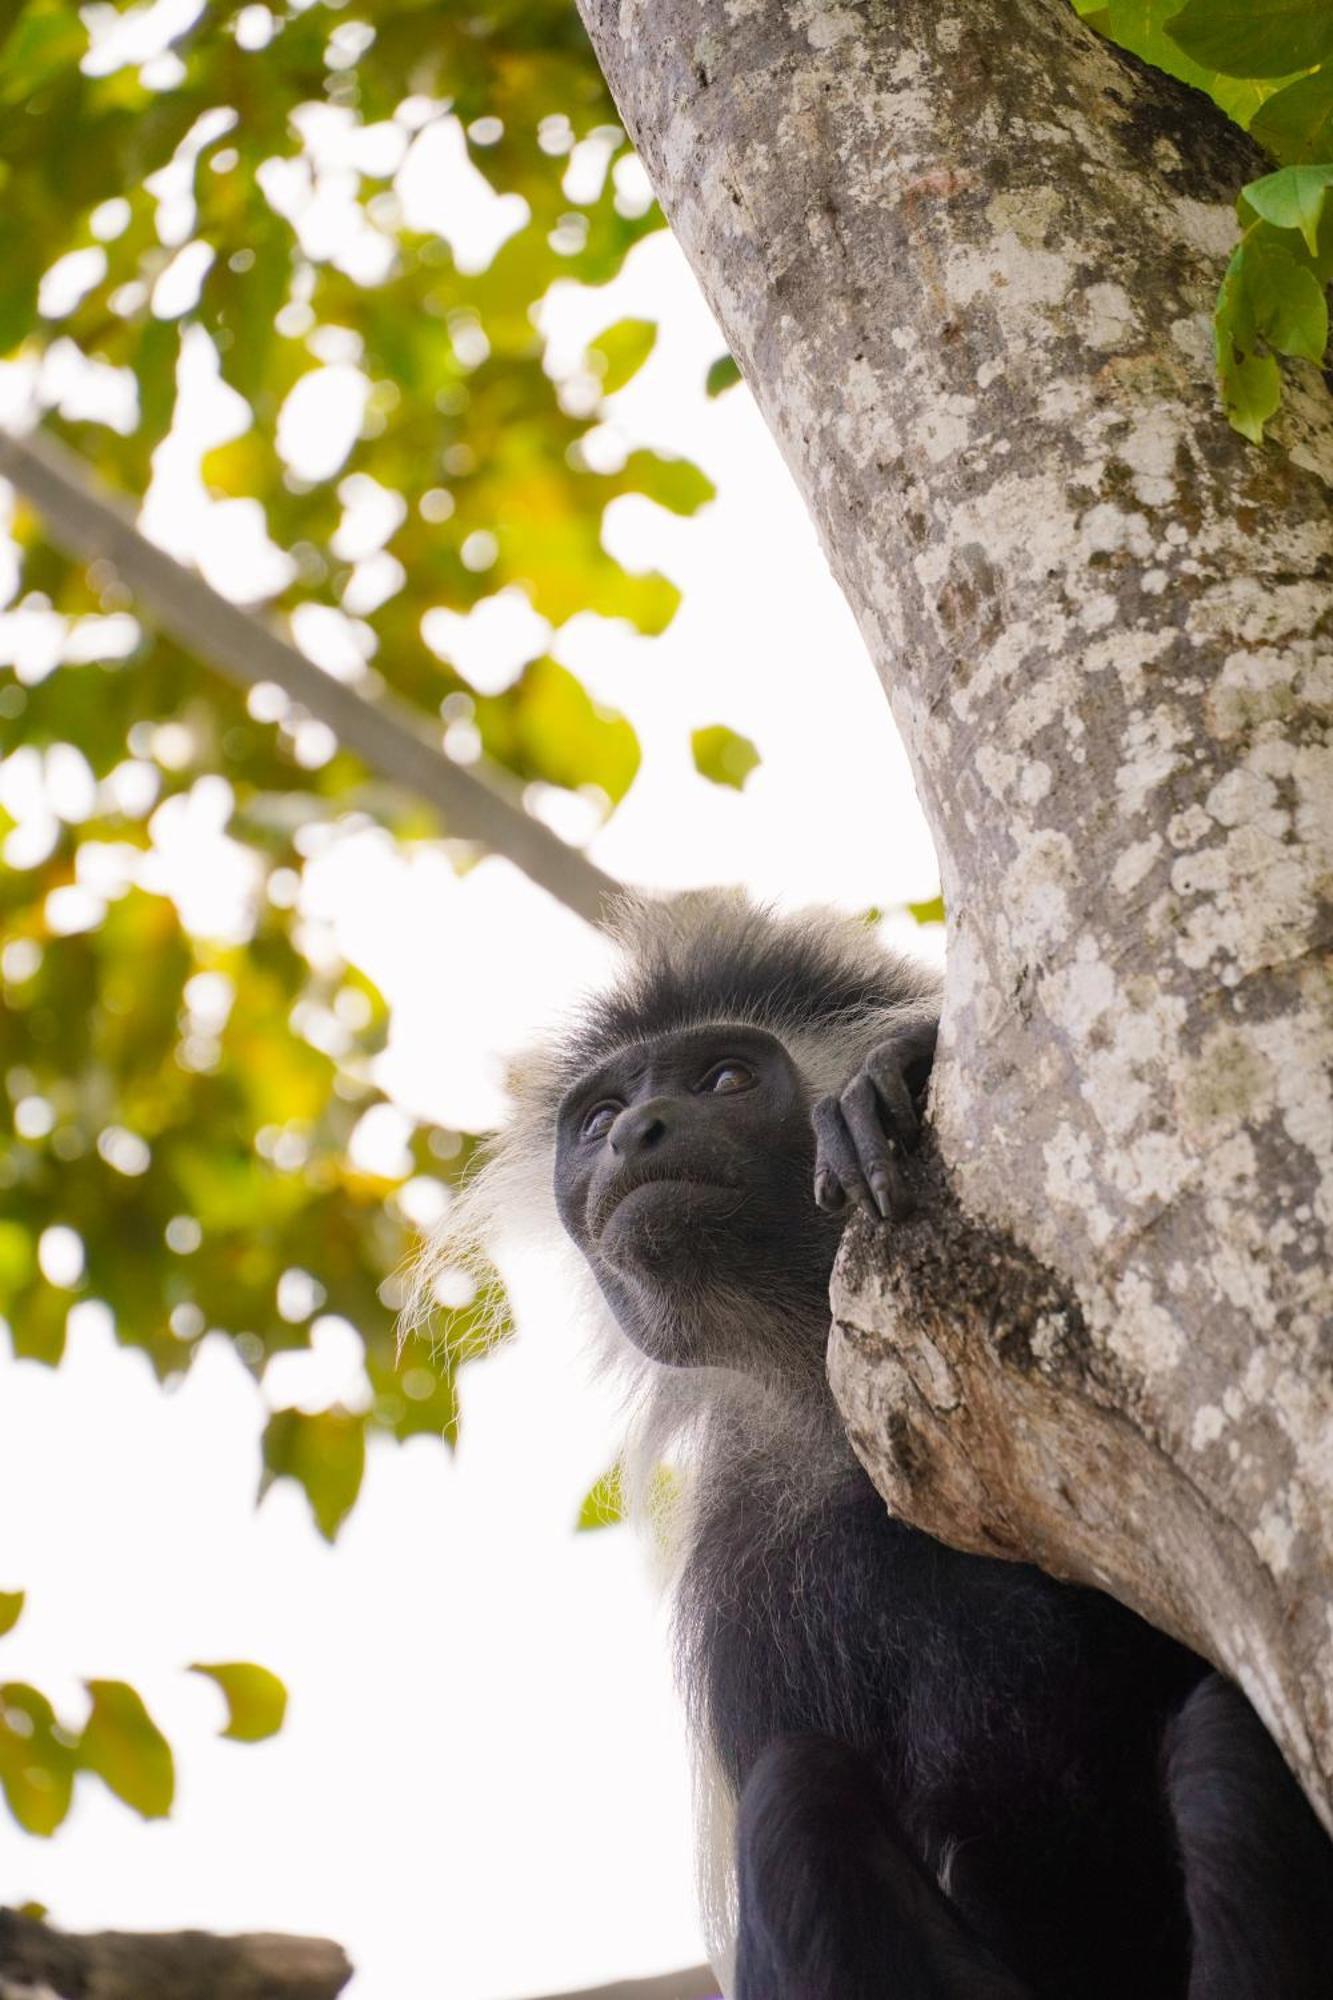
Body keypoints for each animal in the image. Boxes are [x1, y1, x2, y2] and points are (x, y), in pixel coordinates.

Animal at [420, 900, 1328, 2000]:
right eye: (597, 1120)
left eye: (724, 1078)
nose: (636, 1133)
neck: (837, 1411)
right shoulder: (740, 1584)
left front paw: (890, 1074)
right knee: (796, 1801)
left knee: (1229, 1746)